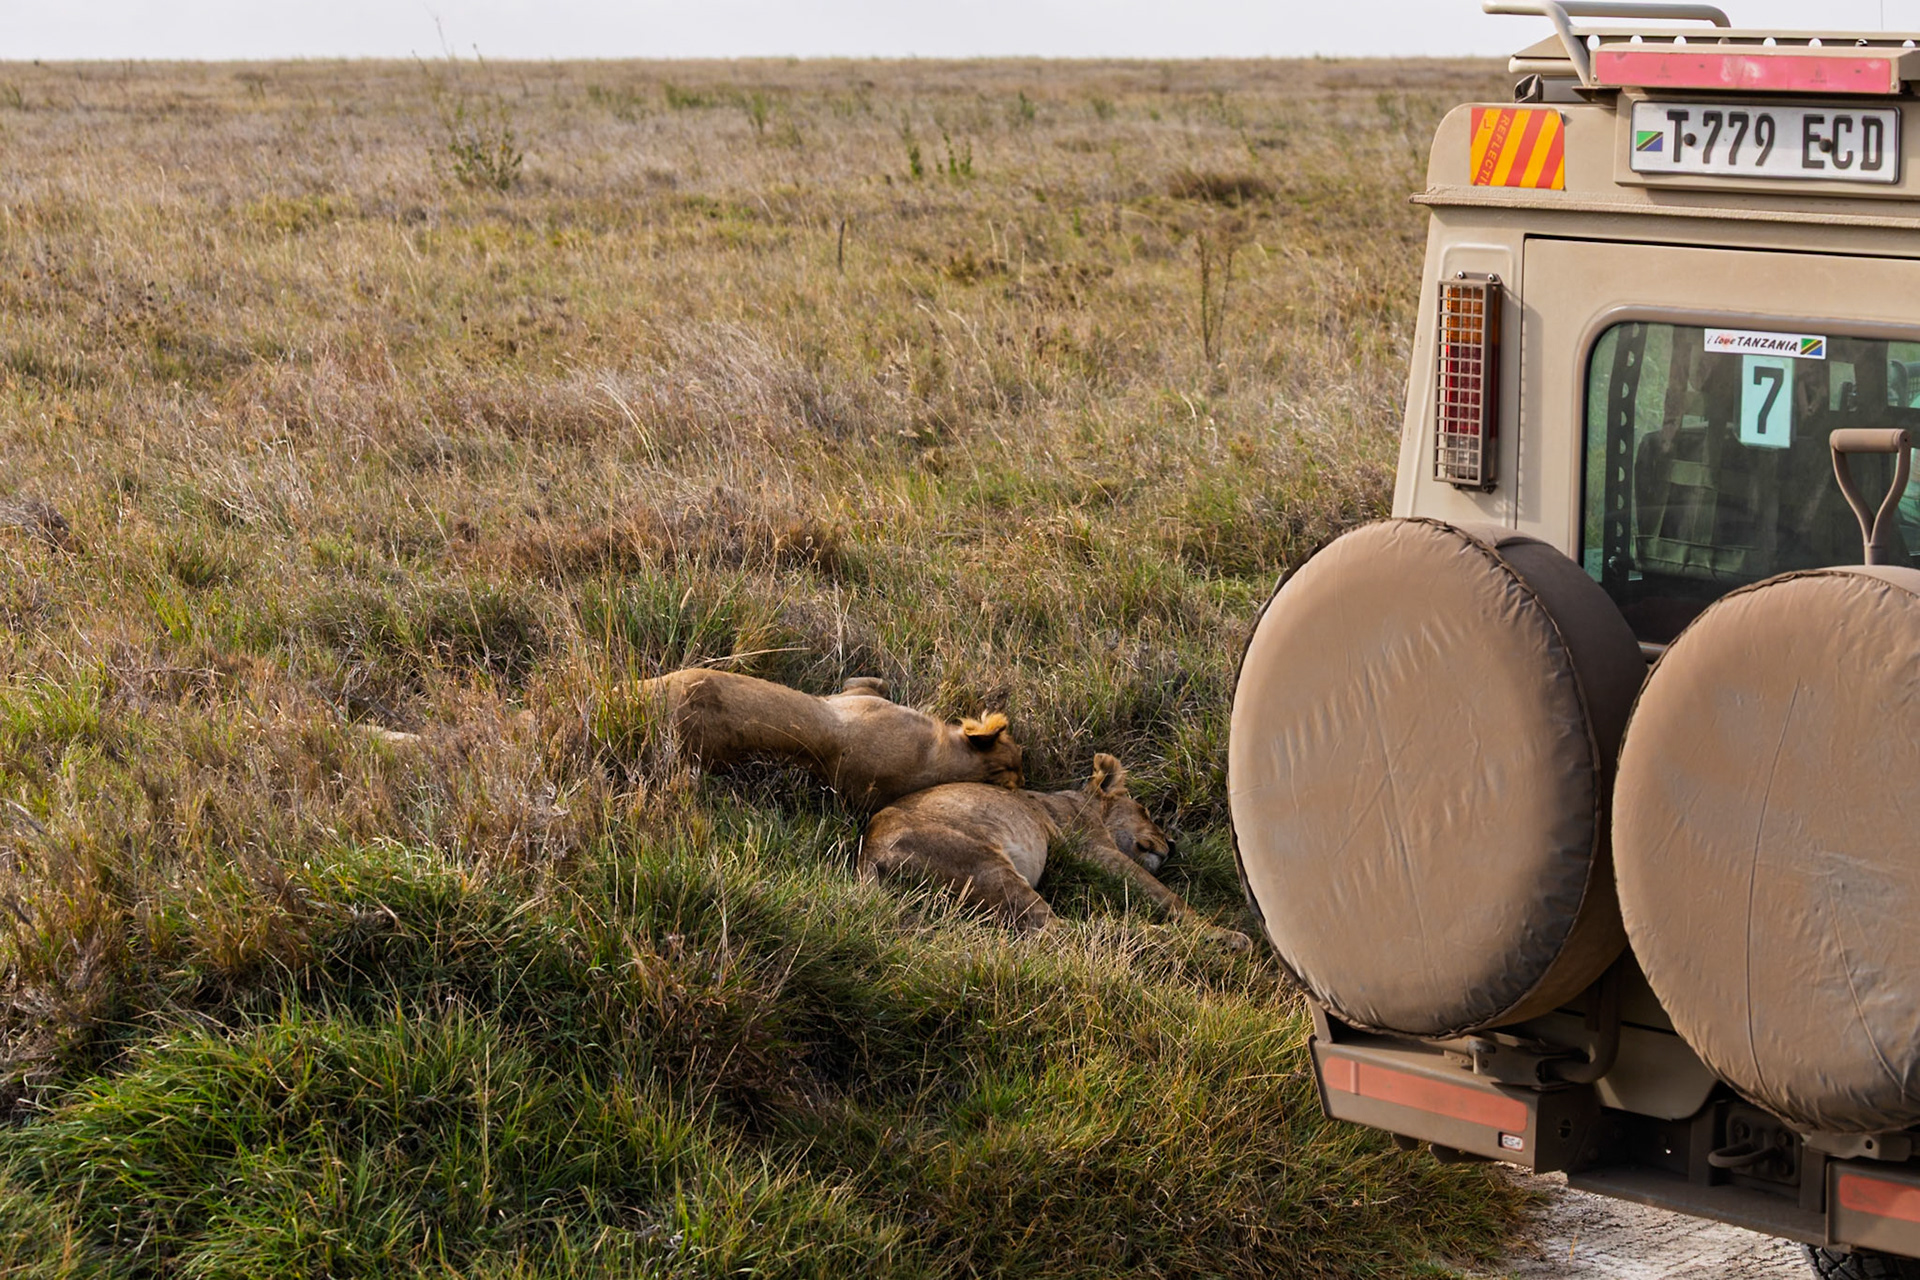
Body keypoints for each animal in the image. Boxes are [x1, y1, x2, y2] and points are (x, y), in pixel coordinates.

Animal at [860, 753, 1250, 947]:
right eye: (1145, 811)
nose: (1172, 845)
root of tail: (870, 856)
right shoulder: (1092, 848)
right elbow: (1165, 894)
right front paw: (1214, 929)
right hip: (985, 865)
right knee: (1055, 930)